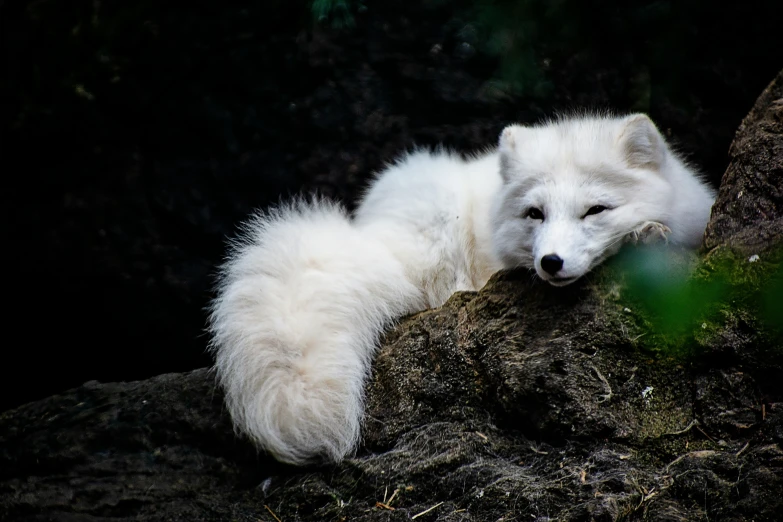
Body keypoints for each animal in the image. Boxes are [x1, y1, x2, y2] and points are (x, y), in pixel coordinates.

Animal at [208, 114, 716, 464]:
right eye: (535, 213)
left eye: (595, 210)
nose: (550, 263)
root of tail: (373, 229)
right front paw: (643, 236)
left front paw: (647, 233)